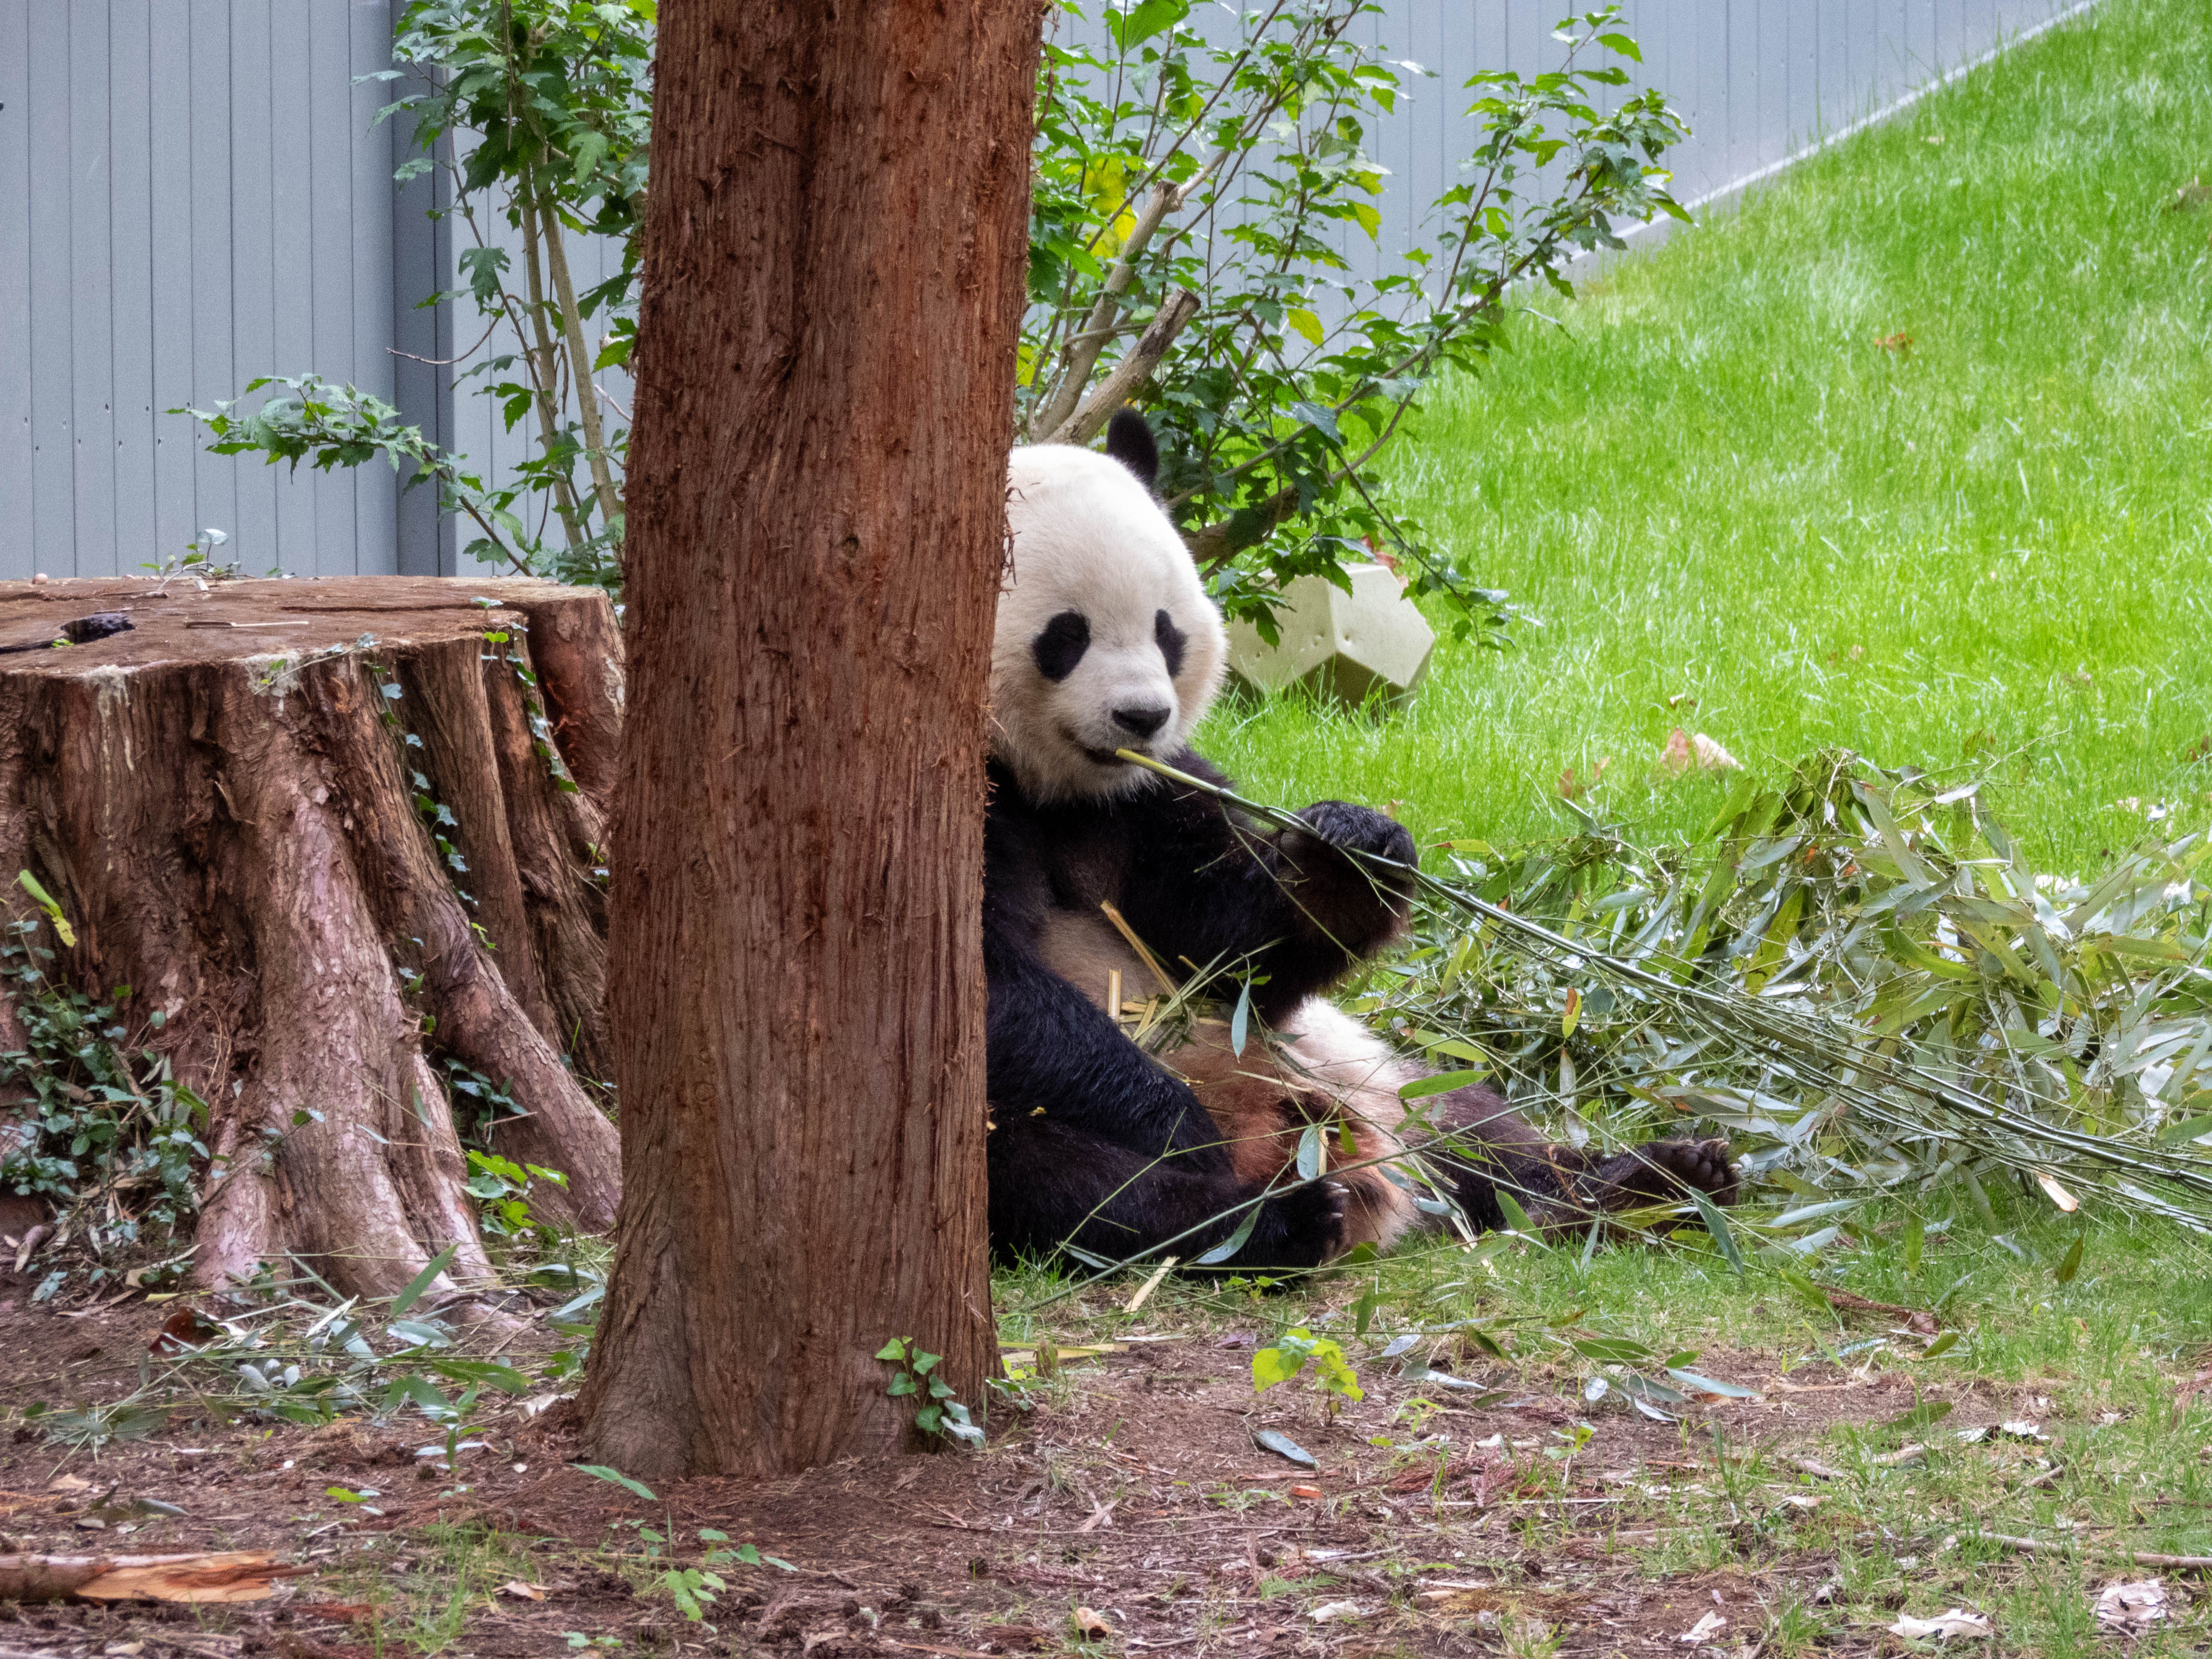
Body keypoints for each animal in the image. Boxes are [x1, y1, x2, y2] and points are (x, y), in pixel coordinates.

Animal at [983, 411, 1737, 1272]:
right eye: (1066, 635)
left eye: (1165, 631)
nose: (1142, 717)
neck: (1060, 790)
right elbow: (997, 990)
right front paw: (1177, 1125)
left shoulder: (1151, 796)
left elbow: (1229, 951)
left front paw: (1349, 850)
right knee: (1068, 1182)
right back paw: (1270, 1221)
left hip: (1365, 1067)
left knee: (1473, 1124)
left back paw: (1644, 1184)